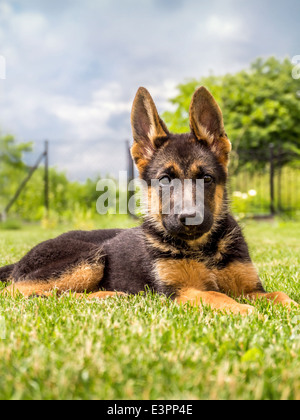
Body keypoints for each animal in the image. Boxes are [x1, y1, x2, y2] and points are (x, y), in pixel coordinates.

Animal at [0, 87, 296, 314]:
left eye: (207, 178)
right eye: (165, 179)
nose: (190, 218)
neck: (202, 249)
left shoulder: (250, 288)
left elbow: (279, 295)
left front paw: (291, 308)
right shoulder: (178, 291)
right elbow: (215, 295)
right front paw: (244, 311)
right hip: (89, 258)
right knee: (22, 292)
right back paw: (107, 295)